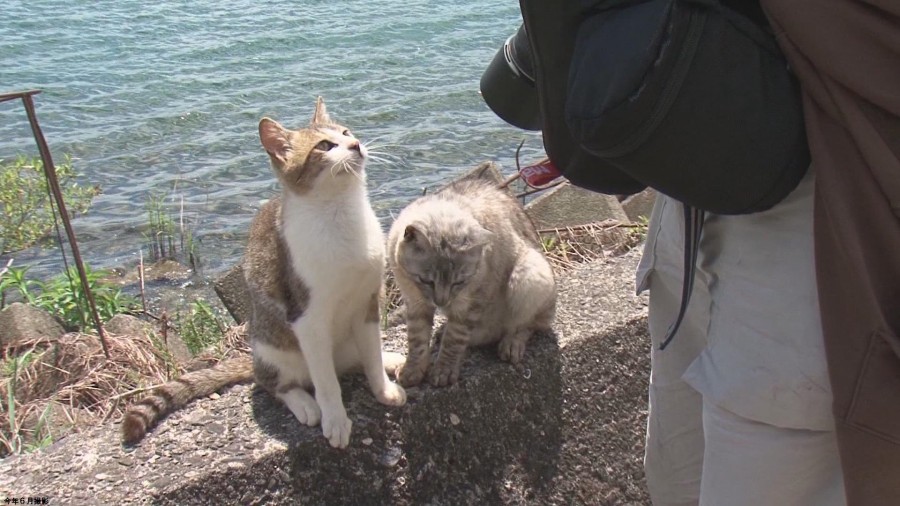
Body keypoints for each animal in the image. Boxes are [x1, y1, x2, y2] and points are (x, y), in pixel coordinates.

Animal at [125, 97, 406, 448]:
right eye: (324, 146)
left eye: (346, 132)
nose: (355, 145)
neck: (341, 215)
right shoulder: (307, 317)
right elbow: (326, 382)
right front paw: (336, 419)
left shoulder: (367, 300)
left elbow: (371, 354)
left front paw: (382, 388)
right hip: (275, 348)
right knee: (276, 383)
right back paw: (304, 403)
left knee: (357, 357)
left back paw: (390, 357)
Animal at [386, 174, 556, 388]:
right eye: (426, 281)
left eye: (458, 283)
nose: (441, 302)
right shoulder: (414, 299)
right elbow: (417, 338)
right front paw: (412, 370)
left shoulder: (469, 302)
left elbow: (454, 339)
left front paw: (444, 371)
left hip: (530, 273)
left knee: (528, 324)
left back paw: (511, 344)